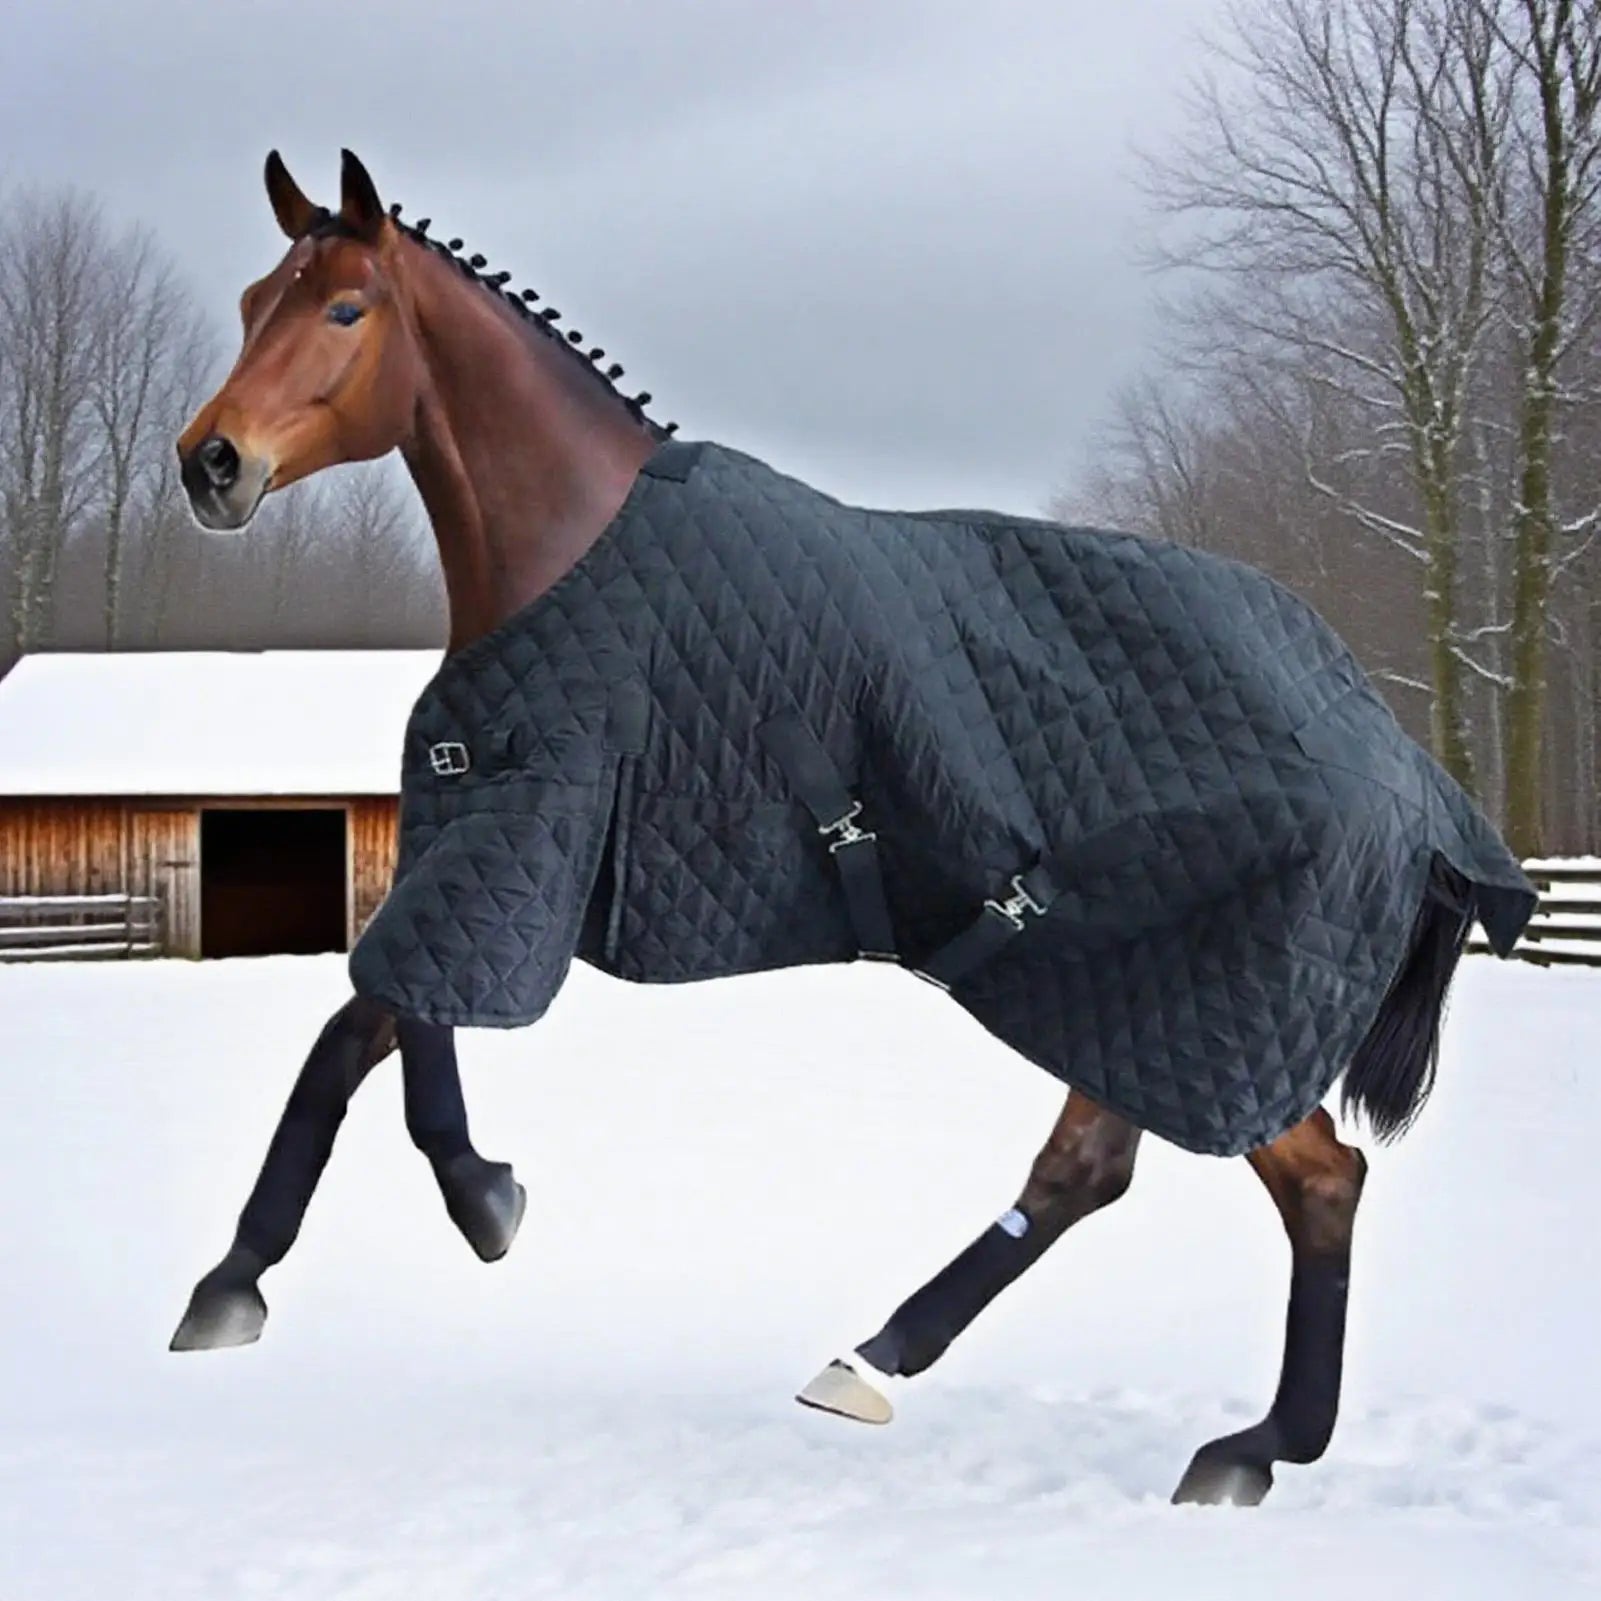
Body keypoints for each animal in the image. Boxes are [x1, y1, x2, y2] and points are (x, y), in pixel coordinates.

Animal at [169, 150, 1533, 1508]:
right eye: (252, 302)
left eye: (345, 308)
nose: (211, 463)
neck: (572, 550)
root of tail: (1395, 754)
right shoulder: (496, 844)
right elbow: (373, 1029)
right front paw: (274, 1266)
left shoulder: (530, 836)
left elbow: (385, 1036)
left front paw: (444, 1212)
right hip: (1119, 990)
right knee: (1102, 1171)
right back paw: (888, 1360)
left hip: (1194, 1000)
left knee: (1314, 1182)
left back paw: (1250, 1445)